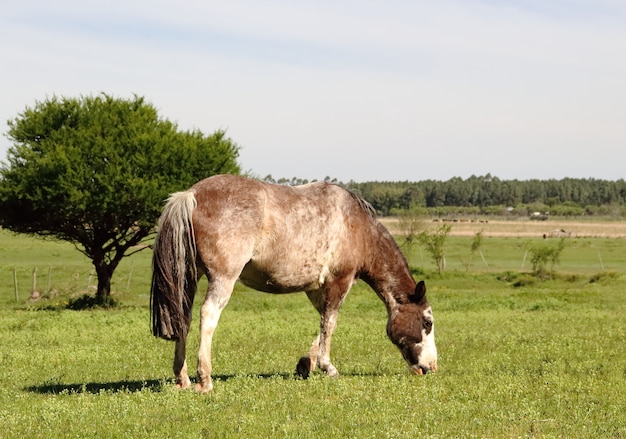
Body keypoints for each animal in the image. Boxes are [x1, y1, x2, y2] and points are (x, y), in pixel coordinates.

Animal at [149, 174, 436, 394]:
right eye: (427, 322)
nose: (430, 367)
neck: (359, 228)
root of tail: (191, 194)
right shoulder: (339, 283)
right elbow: (330, 324)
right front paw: (328, 367)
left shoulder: (316, 289)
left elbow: (322, 326)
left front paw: (306, 364)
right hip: (222, 279)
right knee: (207, 316)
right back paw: (204, 379)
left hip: (190, 275)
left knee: (182, 317)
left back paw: (182, 378)